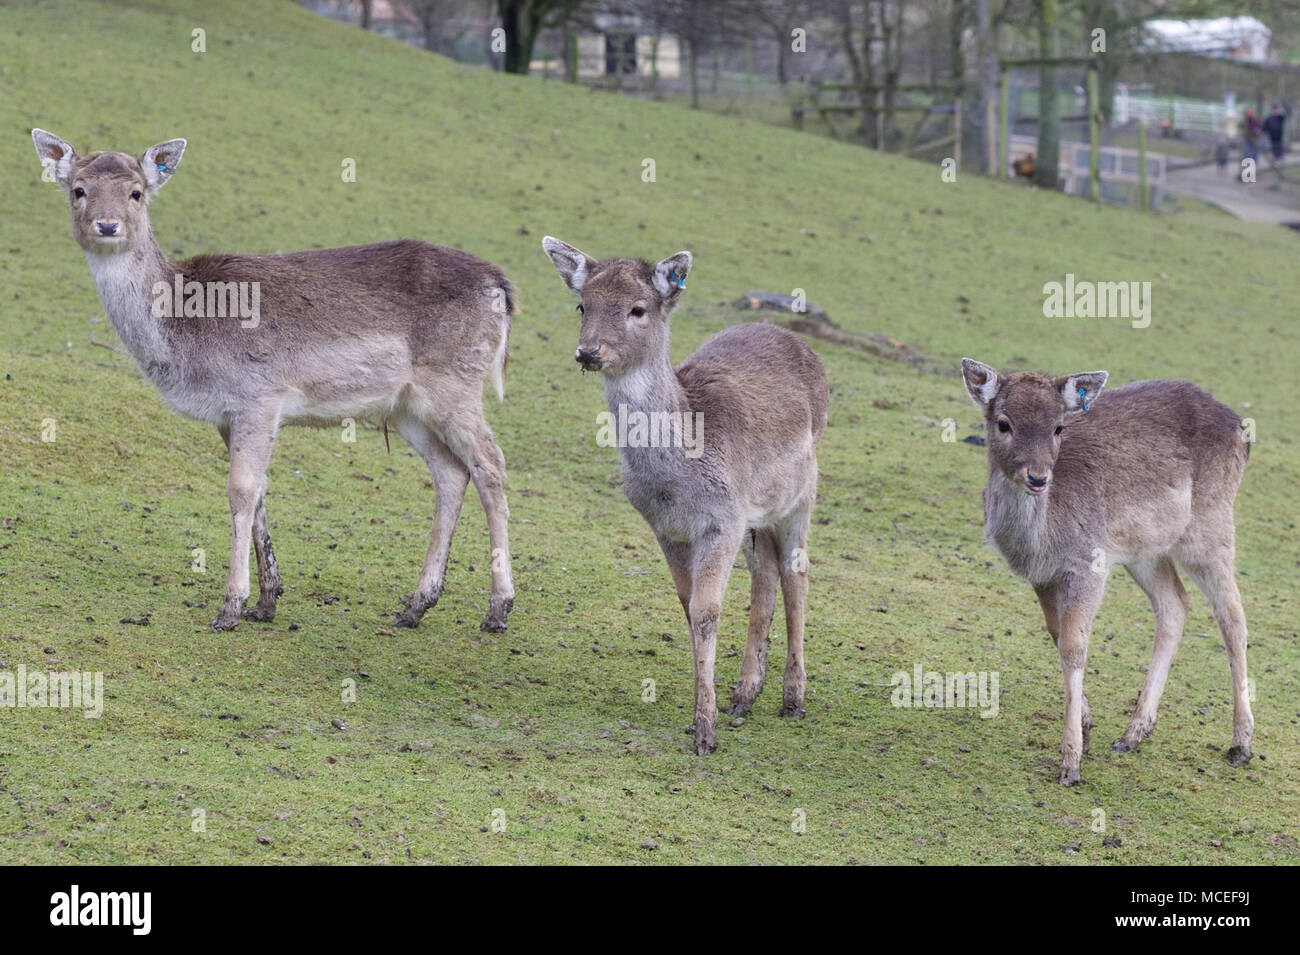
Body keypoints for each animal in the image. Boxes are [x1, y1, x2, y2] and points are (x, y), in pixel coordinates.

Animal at [32, 128, 514, 634]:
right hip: (407, 408)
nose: (107, 226)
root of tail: (501, 285)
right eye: (78, 189)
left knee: (490, 464)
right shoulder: (228, 414)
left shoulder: (257, 394)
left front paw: (230, 607)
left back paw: (498, 609)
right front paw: (266, 602)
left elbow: (240, 490)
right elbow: (260, 489)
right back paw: (415, 606)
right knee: (451, 473)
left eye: (136, 192)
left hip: (455, 382)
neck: (184, 332)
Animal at [540, 237, 826, 753]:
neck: (676, 481)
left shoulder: (721, 518)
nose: (588, 351)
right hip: (756, 516)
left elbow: (707, 610)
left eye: (637, 308)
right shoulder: (668, 527)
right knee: (766, 573)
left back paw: (793, 696)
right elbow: (686, 605)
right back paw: (745, 693)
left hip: (801, 493)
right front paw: (703, 717)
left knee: (796, 572)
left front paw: (706, 732)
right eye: (581, 304)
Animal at [961, 358, 1253, 784]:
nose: (1038, 477)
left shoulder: (1089, 564)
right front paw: (1086, 725)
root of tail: (1241, 429)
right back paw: (1133, 733)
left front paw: (1071, 763)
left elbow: (1074, 646)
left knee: (1232, 614)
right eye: (1003, 423)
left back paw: (1241, 744)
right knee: (1175, 605)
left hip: (1209, 525)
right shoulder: (1042, 576)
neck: (1043, 540)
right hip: (1145, 550)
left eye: (1058, 427)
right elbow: (1057, 635)